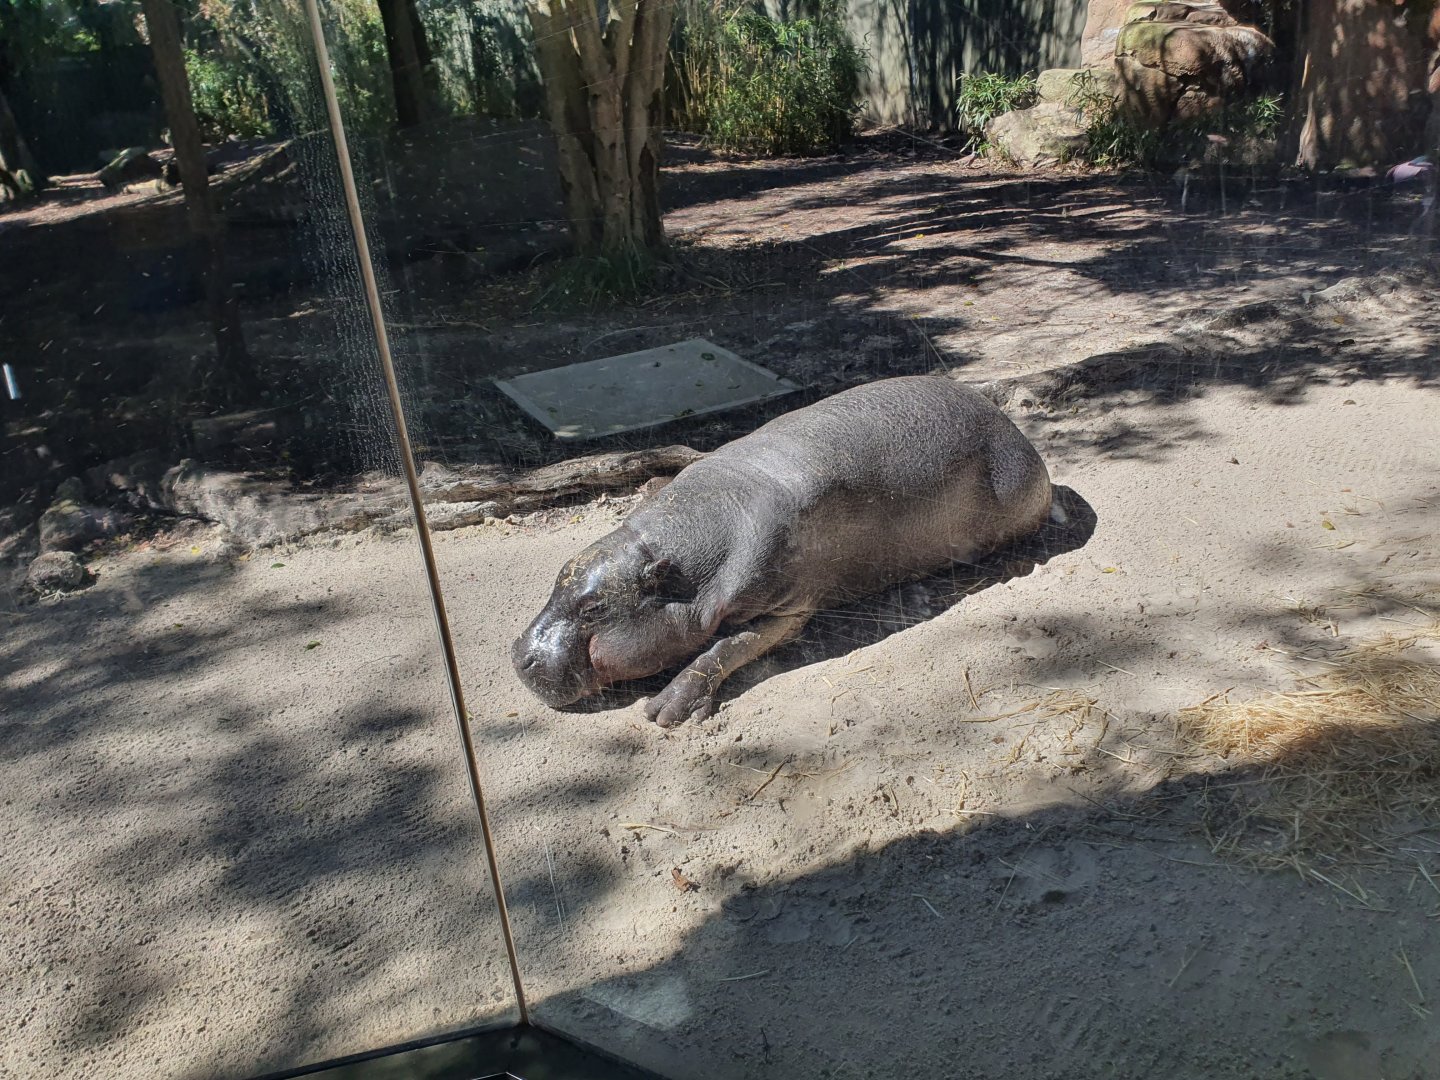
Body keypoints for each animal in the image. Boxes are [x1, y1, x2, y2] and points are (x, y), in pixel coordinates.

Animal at [512, 375, 1061, 727]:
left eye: (594, 608)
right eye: (558, 577)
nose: (518, 656)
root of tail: (1013, 428)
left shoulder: (787, 606)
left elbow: (723, 648)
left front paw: (663, 711)